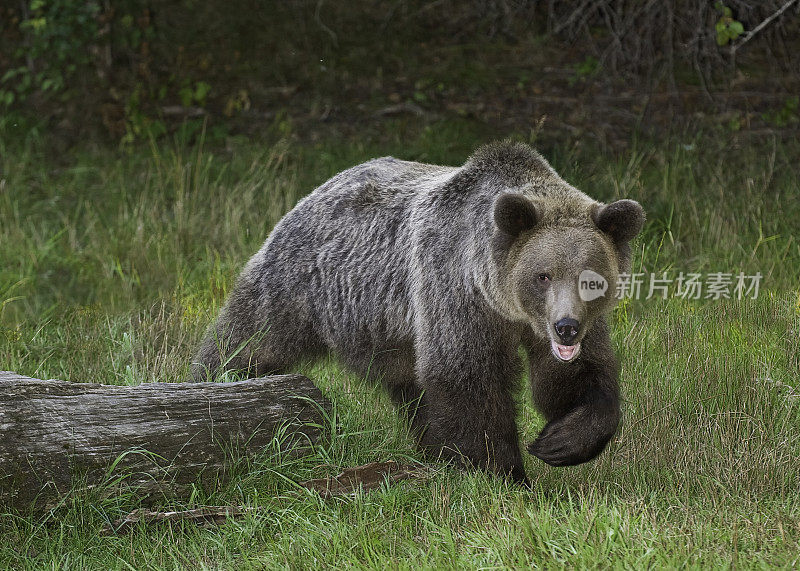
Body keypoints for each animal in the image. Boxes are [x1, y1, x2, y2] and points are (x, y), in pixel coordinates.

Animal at [192, 140, 644, 482]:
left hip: (387, 329)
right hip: (301, 285)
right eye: (543, 275)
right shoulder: (455, 291)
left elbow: (576, 377)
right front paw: (504, 474)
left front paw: (559, 441)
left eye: (590, 280)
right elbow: (464, 378)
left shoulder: (557, 327)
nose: (566, 328)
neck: (505, 306)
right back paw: (214, 387)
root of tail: (316, 190)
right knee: (248, 339)